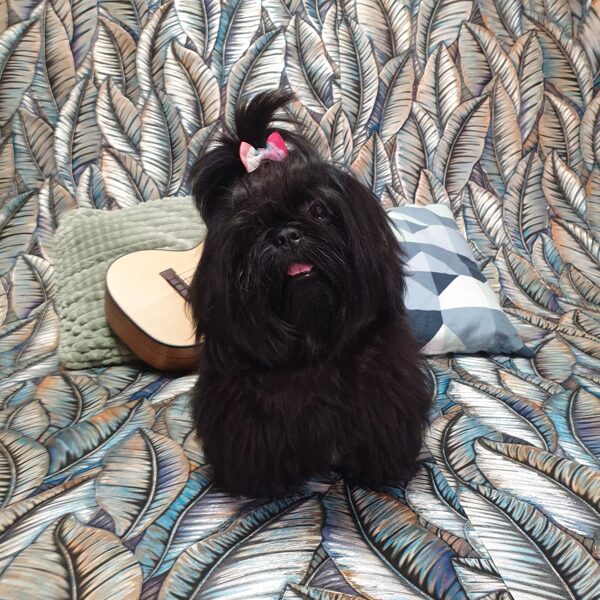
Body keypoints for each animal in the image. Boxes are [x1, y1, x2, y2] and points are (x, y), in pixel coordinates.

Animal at [188, 91, 433, 497]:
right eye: (251, 227)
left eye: (319, 210)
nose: (286, 234)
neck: (312, 344)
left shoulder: (383, 395)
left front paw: (379, 471)